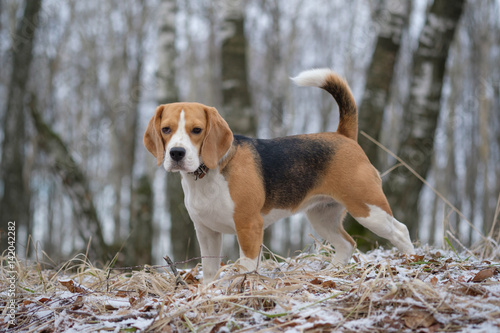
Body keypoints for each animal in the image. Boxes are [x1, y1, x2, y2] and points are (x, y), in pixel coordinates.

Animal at [144, 68, 414, 282]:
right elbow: (209, 272)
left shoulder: (249, 227)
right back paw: (331, 273)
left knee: (400, 230)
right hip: (322, 216)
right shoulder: (206, 231)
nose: (176, 153)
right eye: (166, 129)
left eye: (197, 130)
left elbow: (246, 267)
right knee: (347, 244)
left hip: (368, 209)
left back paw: (413, 262)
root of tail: (343, 135)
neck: (208, 174)